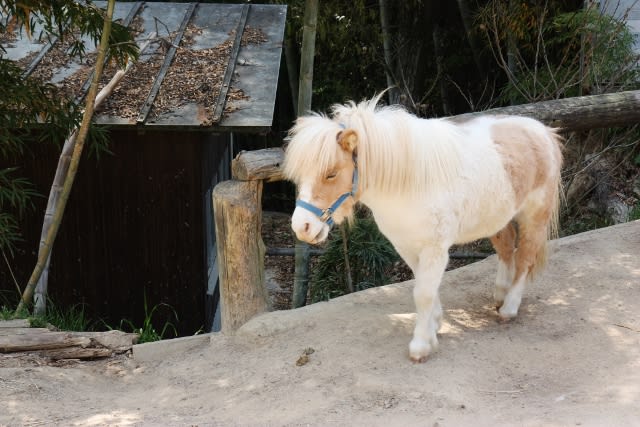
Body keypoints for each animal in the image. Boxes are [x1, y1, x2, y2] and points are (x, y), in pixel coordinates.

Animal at [282, 95, 564, 362]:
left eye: (330, 174)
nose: (302, 227)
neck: (409, 185)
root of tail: (541, 130)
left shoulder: (434, 249)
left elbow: (424, 294)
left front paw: (421, 346)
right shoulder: (406, 246)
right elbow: (424, 288)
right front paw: (434, 325)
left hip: (534, 218)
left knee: (525, 258)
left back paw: (509, 307)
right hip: (498, 219)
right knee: (506, 249)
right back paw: (500, 294)